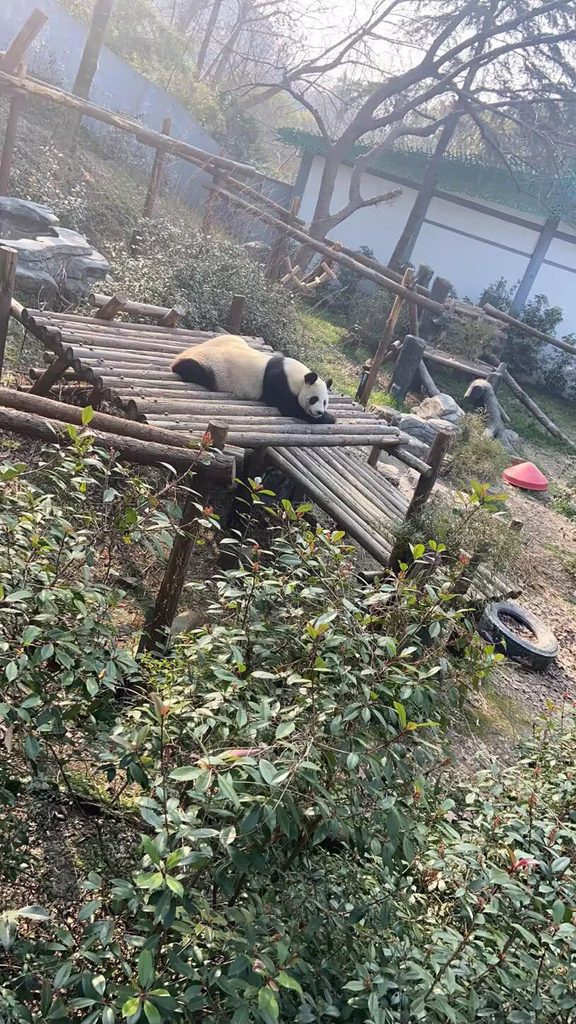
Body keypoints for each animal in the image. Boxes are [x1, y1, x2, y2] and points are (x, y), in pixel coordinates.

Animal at [171, 334, 336, 424]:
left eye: (325, 402)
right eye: (314, 399)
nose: (319, 412)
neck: (298, 377)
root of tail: (186, 352)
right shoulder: (279, 382)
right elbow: (289, 407)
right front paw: (330, 418)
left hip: (230, 339)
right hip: (213, 368)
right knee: (196, 371)